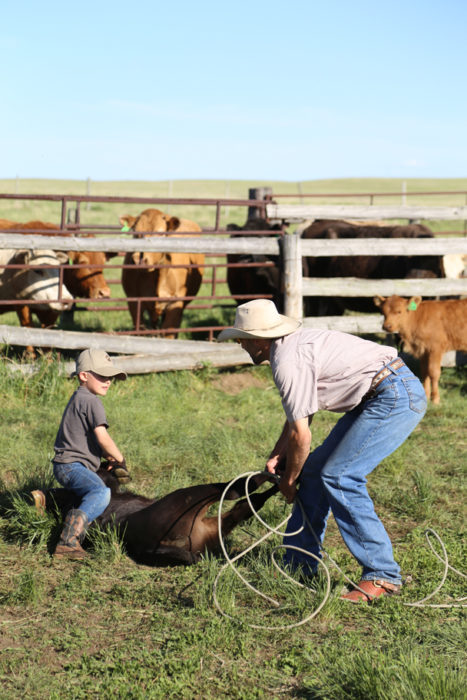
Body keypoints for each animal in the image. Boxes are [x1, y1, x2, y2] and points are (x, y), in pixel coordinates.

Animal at [119, 208, 204, 336]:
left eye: (160, 233)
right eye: (135, 232)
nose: (138, 259)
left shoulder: (175, 303)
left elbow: (169, 331)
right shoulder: (133, 301)